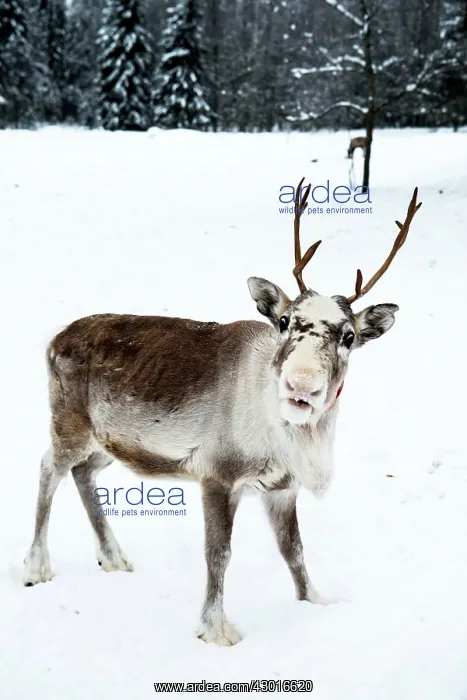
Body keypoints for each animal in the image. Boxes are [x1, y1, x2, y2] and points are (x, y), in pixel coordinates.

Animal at [23, 181, 422, 646]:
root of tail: (55, 338)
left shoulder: (281, 487)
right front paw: (216, 629)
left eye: (349, 336)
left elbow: (294, 550)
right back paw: (36, 567)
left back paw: (114, 558)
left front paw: (316, 602)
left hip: (107, 442)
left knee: (83, 474)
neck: (290, 438)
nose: (300, 386)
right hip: (68, 424)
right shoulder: (217, 475)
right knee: (49, 468)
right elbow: (219, 553)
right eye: (285, 321)